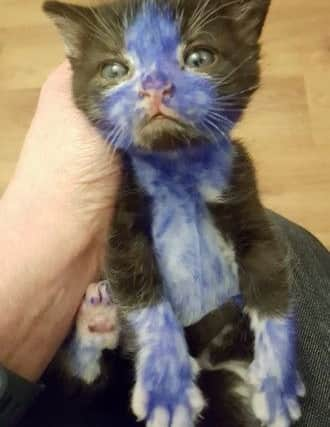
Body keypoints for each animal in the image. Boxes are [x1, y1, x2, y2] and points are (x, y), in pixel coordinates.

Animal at [43, 0, 304, 426]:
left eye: (199, 58)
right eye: (114, 70)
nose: (155, 87)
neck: (177, 167)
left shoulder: (244, 193)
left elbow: (270, 281)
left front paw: (278, 378)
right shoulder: (122, 216)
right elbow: (143, 293)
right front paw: (167, 385)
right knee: (82, 387)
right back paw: (94, 325)